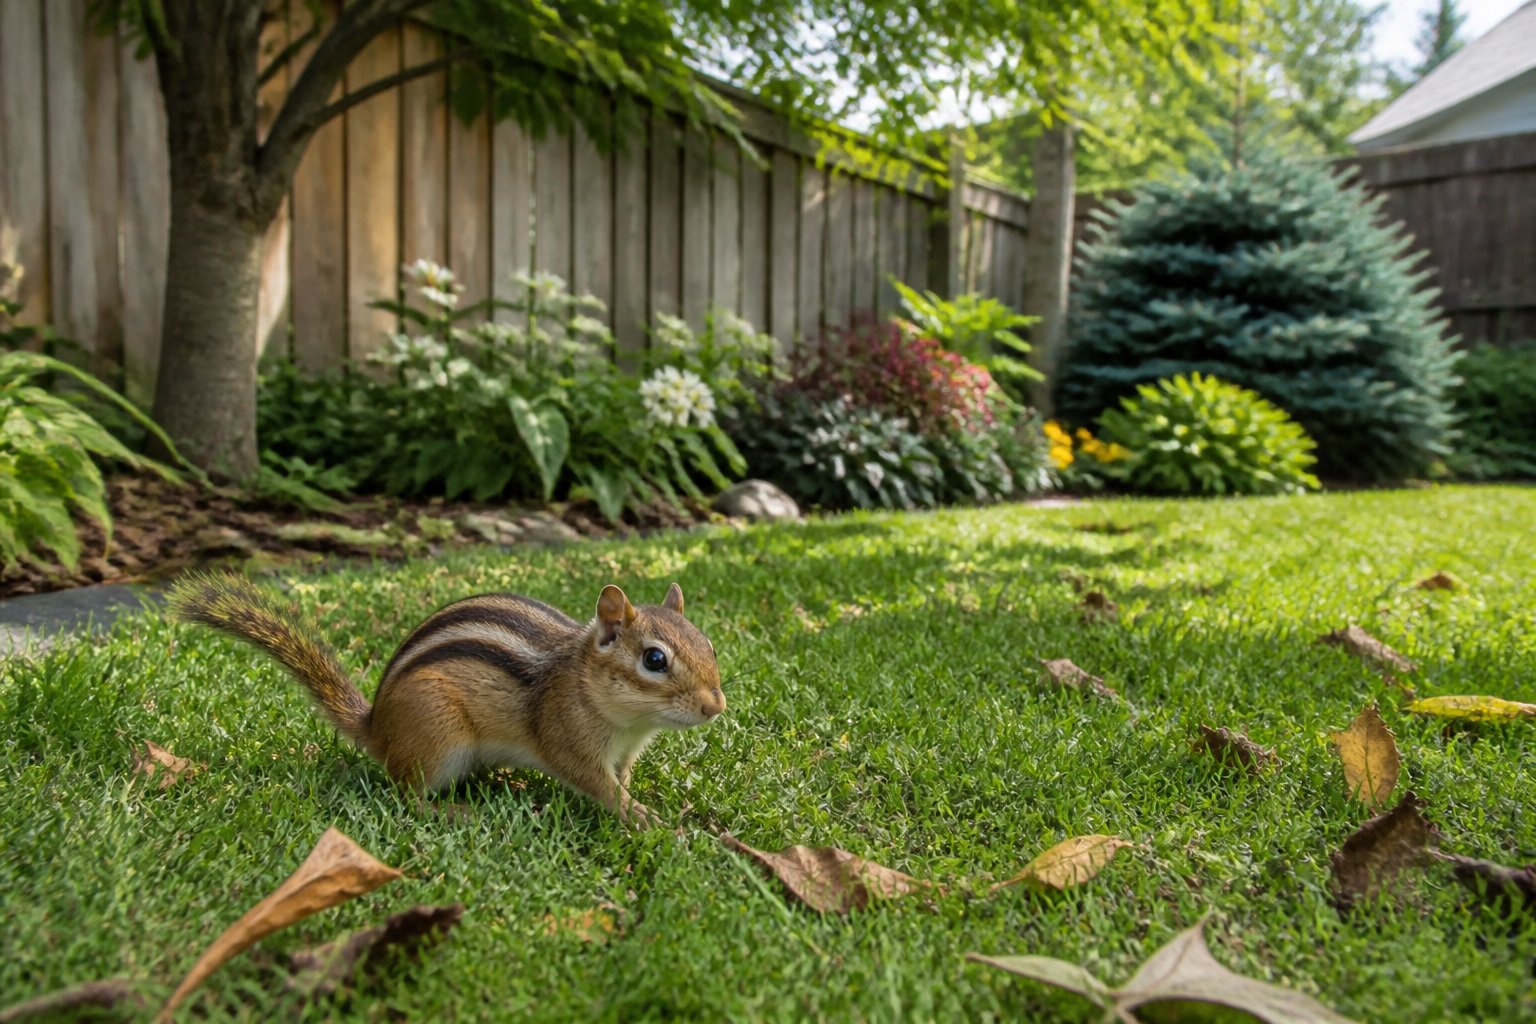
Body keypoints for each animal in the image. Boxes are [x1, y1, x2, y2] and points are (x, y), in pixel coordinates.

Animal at [166, 572, 725, 828]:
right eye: (655, 659)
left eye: (708, 644)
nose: (715, 707)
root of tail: (377, 728)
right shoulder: (568, 741)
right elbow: (600, 786)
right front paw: (646, 818)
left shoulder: (626, 751)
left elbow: (620, 778)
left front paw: (644, 806)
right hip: (437, 739)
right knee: (405, 796)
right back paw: (455, 812)